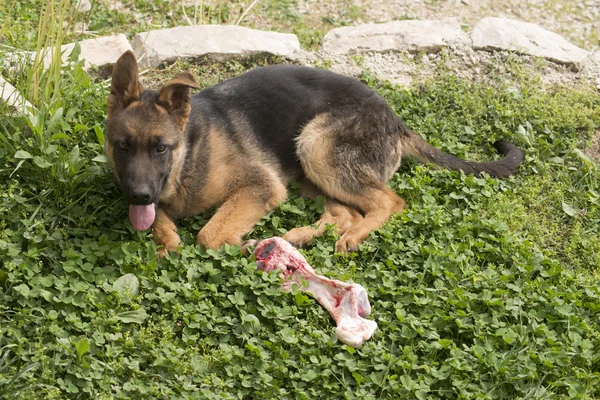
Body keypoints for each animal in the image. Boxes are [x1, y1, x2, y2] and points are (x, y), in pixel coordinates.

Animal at [105, 51, 524, 255]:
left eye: (161, 147)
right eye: (122, 147)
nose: (139, 195)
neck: (188, 155)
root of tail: (394, 119)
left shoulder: (262, 185)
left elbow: (208, 234)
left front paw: (237, 243)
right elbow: (162, 227)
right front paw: (167, 239)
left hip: (315, 147)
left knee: (389, 202)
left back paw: (345, 237)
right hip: (310, 171)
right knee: (345, 213)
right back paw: (297, 238)